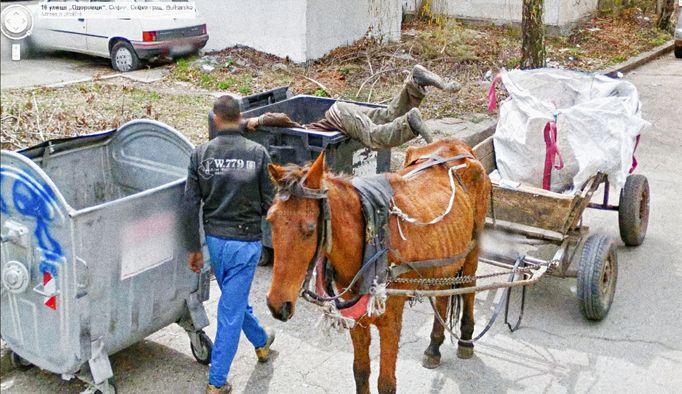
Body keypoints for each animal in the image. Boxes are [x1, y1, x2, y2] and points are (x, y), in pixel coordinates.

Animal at [264, 139, 488, 394]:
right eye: (270, 220)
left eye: (310, 229)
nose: (276, 305)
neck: (373, 237)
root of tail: (458, 145)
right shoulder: (357, 319)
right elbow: (360, 372)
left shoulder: (391, 320)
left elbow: (386, 383)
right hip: (445, 261)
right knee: (443, 295)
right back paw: (434, 347)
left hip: (471, 252)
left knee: (469, 287)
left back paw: (466, 339)